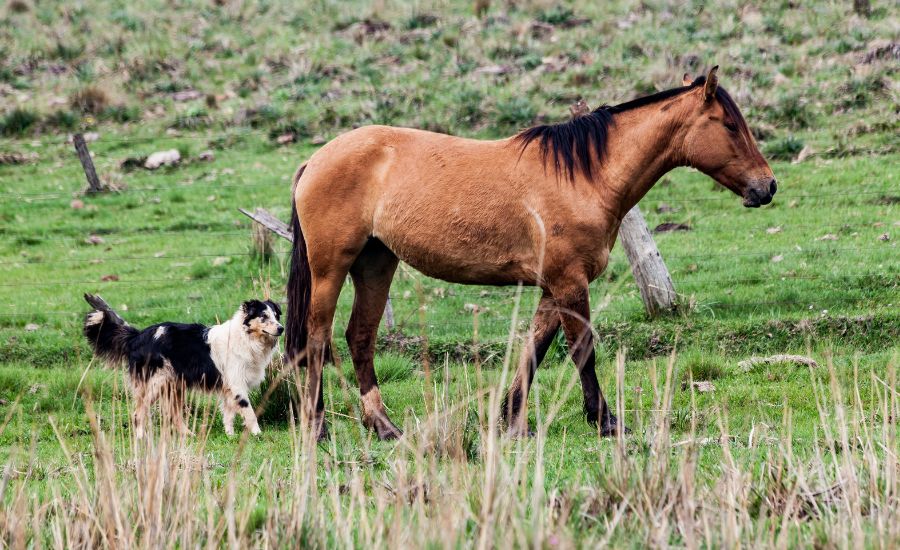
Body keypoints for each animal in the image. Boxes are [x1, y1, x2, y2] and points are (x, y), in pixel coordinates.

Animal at [82, 294, 283, 438]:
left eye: (276, 315)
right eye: (263, 316)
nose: (281, 328)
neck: (246, 336)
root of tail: (138, 336)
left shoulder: (228, 388)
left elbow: (228, 414)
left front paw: (230, 436)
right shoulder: (237, 385)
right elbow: (249, 412)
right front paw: (257, 433)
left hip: (175, 386)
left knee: (174, 415)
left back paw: (189, 435)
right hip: (154, 384)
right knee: (138, 413)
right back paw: (141, 438)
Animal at [285, 67, 776, 440]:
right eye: (730, 126)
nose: (767, 186)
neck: (583, 177)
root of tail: (315, 160)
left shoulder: (553, 286)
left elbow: (533, 350)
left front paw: (512, 421)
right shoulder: (569, 282)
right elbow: (582, 349)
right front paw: (605, 421)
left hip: (376, 263)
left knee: (360, 338)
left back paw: (384, 426)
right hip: (331, 268)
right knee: (317, 338)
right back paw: (318, 427)